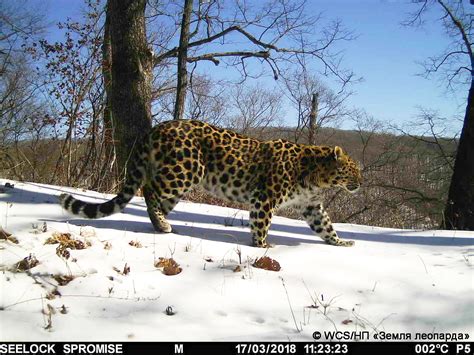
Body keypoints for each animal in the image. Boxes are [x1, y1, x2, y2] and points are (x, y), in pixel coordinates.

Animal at [60, 119, 362, 248]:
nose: (361, 183)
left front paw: (340, 242)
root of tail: (157, 127)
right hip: (185, 171)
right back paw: (162, 224)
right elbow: (261, 222)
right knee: (149, 190)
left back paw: (162, 225)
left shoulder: (312, 207)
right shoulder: (265, 197)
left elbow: (325, 226)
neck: (318, 178)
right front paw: (262, 245)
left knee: (156, 200)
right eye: (352, 170)